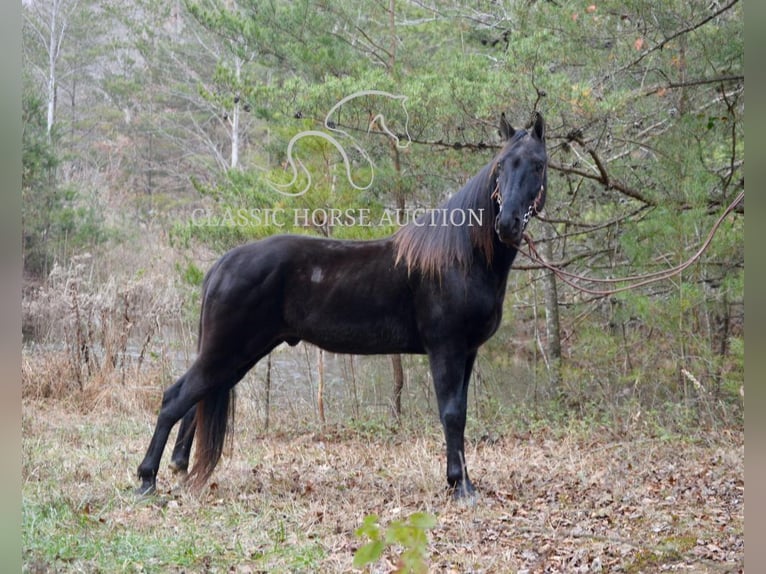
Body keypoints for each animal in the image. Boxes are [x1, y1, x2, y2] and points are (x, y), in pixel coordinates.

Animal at [136, 112, 544, 500]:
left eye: (538, 164)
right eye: (501, 165)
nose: (507, 224)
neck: (461, 257)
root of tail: (223, 263)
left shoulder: (467, 352)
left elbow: (461, 411)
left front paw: (458, 482)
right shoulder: (446, 348)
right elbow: (452, 414)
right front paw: (460, 486)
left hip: (239, 355)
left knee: (197, 398)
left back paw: (179, 467)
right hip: (226, 351)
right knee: (175, 398)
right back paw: (146, 480)